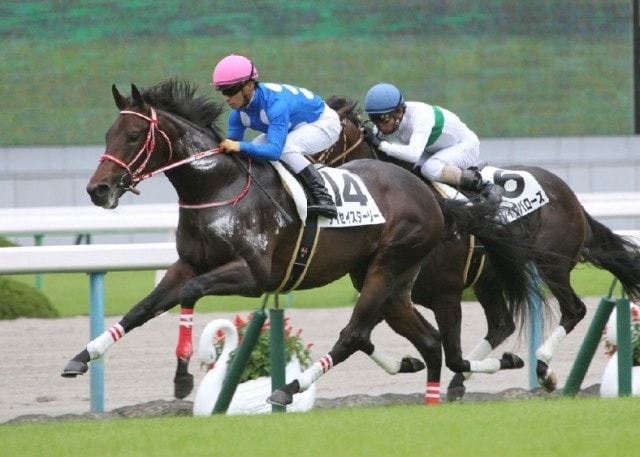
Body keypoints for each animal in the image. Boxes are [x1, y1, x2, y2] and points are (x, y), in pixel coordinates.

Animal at [59, 79, 537, 405]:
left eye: (133, 136)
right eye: (108, 135)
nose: (97, 190)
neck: (217, 185)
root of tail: (427, 194)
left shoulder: (253, 275)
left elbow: (191, 294)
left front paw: (185, 372)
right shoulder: (187, 263)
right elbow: (142, 309)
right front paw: (81, 357)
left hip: (394, 269)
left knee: (356, 333)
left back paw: (287, 389)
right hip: (393, 280)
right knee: (432, 342)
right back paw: (437, 390)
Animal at [319, 96, 640, 400]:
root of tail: (568, 193)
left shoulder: (445, 295)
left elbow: (442, 349)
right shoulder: (390, 289)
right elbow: (361, 335)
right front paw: (409, 363)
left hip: (552, 265)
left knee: (573, 309)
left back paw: (544, 369)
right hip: (489, 280)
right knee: (502, 324)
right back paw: (461, 383)